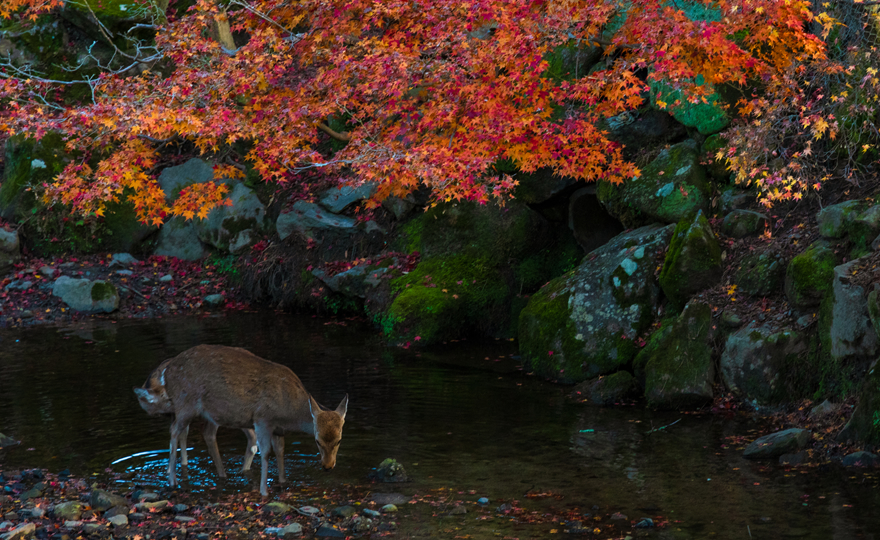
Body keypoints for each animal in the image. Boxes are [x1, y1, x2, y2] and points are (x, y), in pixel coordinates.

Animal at [134, 344, 348, 496]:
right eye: (317, 441)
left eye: (339, 440)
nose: (328, 466)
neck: (289, 412)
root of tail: (168, 371)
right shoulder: (262, 419)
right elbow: (265, 453)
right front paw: (263, 491)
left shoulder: (278, 429)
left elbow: (280, 452)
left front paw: (283, 482)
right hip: (186, 403)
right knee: (175, 431)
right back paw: (172, 480)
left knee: (197, 433)